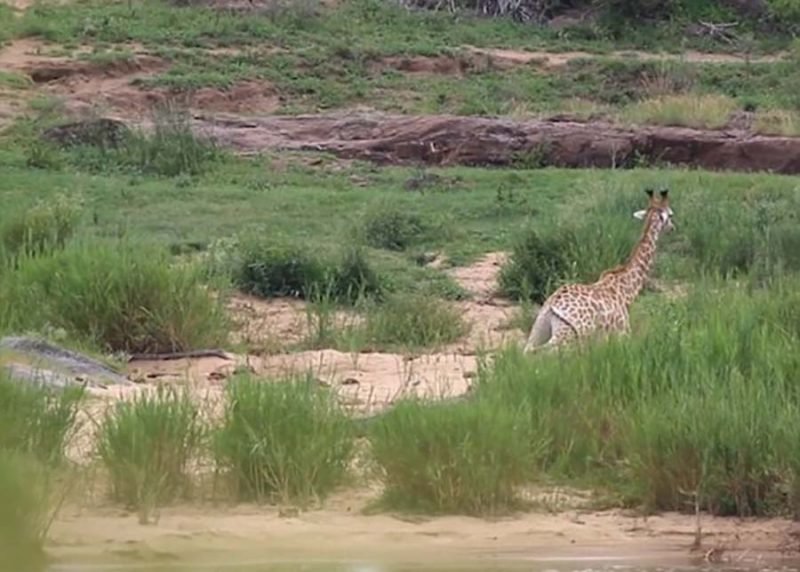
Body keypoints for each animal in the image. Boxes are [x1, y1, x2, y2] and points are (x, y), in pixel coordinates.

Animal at [524, 189, 676, 354]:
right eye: (670, 215)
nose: (673, 228)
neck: (628, 291)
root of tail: (552, 303)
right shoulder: (622, 334)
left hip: (540, 328)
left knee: (528, 350)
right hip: (571, 335)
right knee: (547, 351)